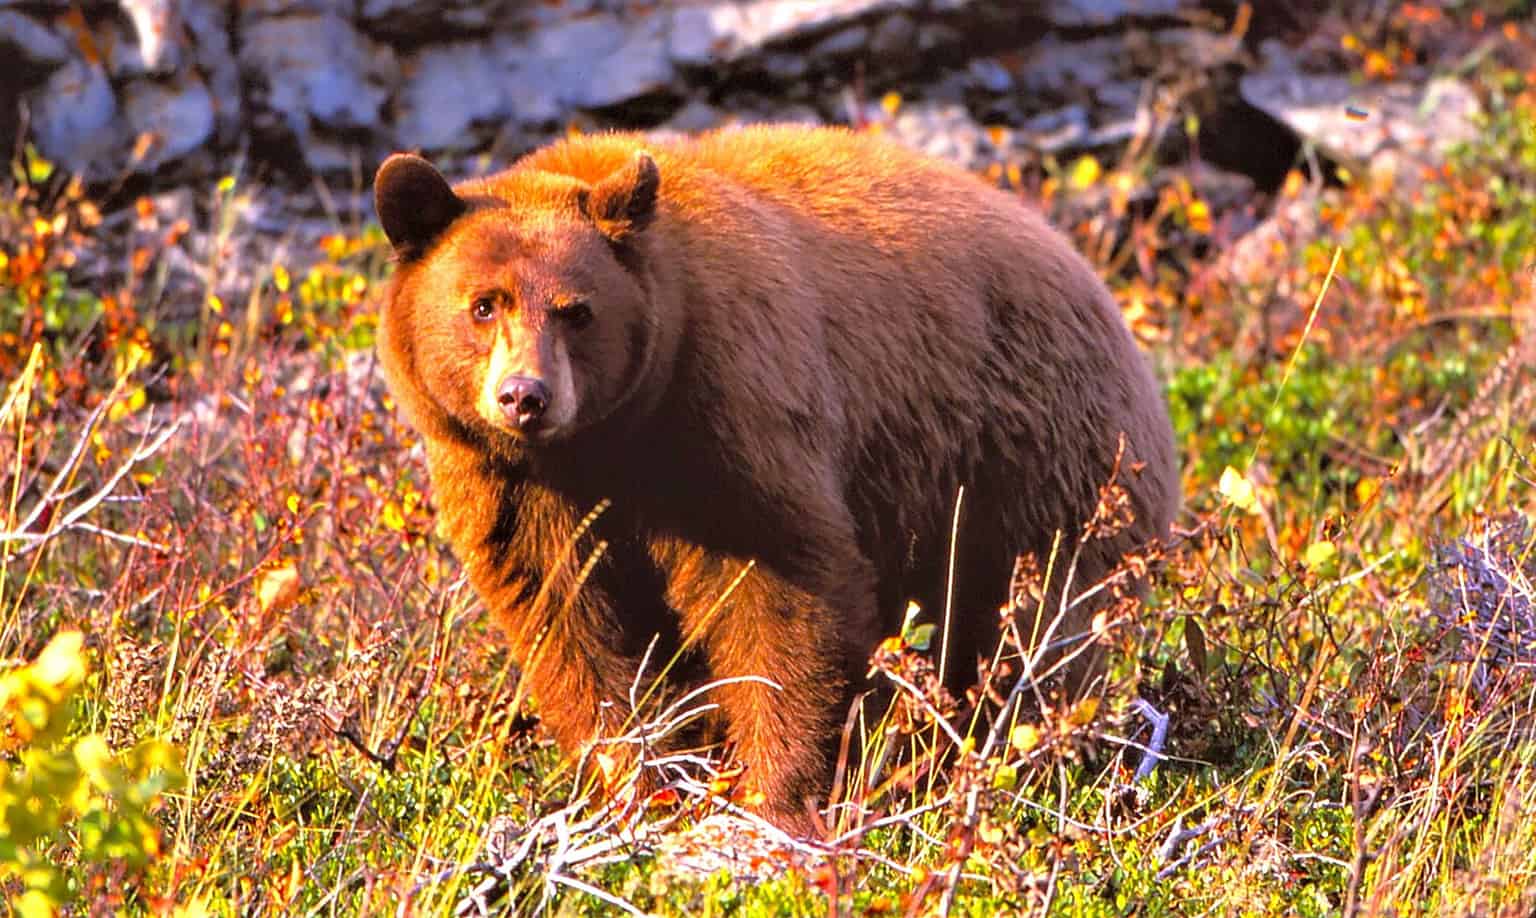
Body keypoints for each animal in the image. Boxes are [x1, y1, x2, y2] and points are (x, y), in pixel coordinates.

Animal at [372, 124, 1179, 834]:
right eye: (484, 304)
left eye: (577, 312)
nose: (526, 397)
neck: (607, 441)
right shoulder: (510, 485)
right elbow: (568, 617)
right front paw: (639, 780)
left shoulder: (726, 409)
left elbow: (781, 586)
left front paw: (773, 793)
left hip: (1035, 457)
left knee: (1040, 621)